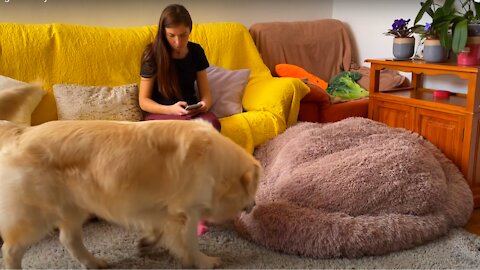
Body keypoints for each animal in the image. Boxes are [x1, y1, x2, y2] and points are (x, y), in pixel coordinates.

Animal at [0, 119, 258, 268]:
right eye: (255, 187)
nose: (254, 205)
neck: (216, 161)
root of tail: (19, 133)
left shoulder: (161, 210)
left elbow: (158, 228)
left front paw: (147, 242)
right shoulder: (186, 212)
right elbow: (190, 242)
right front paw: (205, 261)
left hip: (74, 206)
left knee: (69, 239)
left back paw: (94, 262)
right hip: (37, 215)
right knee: (11, 250)